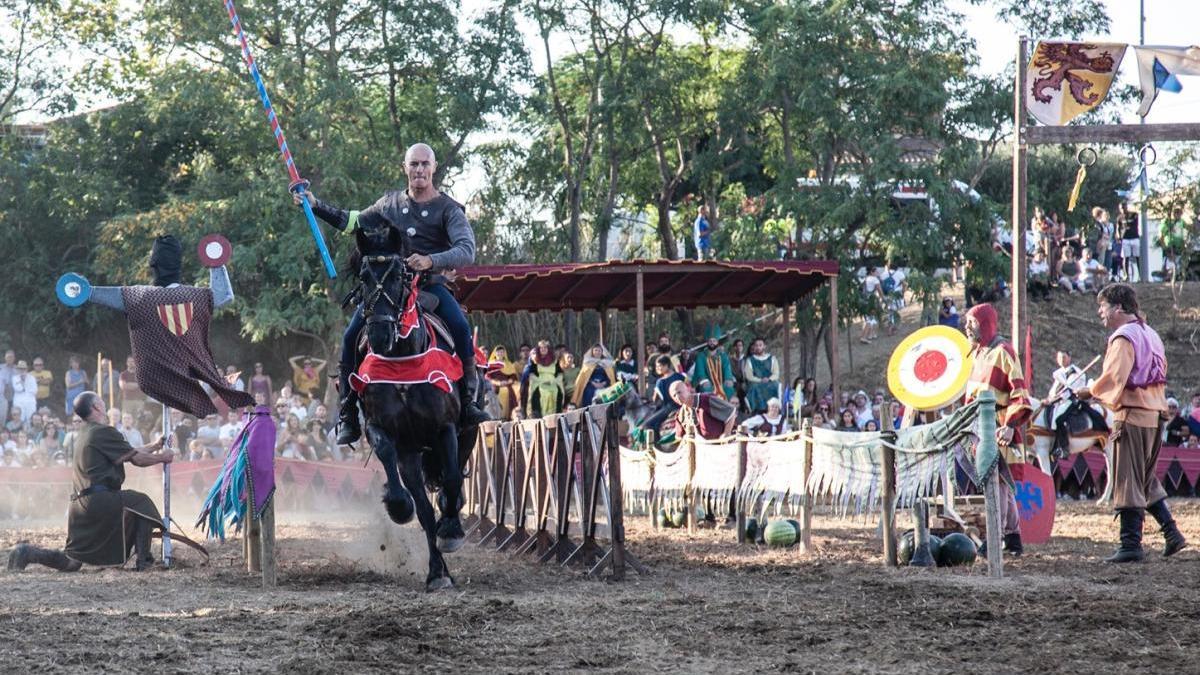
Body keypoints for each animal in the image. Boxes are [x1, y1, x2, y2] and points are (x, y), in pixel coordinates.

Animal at [350, 220, 468, 588]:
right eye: (364, 276)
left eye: (400, 276)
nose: (379, 336)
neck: (402, 359)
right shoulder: (388, 434)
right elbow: (388, 456)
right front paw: (398, 505)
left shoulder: (446, 428)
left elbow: (452, 480)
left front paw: (452, 529)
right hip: (413, 454)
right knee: (426, 510)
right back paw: (436, 572)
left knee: (451, 485)